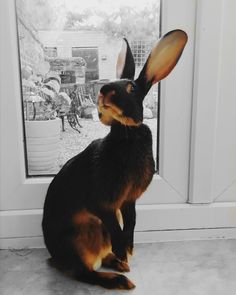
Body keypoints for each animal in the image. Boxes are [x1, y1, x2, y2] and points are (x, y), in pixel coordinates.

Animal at [41, 28, 187, 290]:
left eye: (131, 88)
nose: (103, 90)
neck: (127, 132)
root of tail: (56, 258)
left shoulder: (128, 202)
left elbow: (131, 223)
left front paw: (128, 250)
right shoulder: (103, 203)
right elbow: (116, 228)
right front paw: (123, 250)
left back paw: (121, 264)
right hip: (78, 239)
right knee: (86, 273)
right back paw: (120, 279)